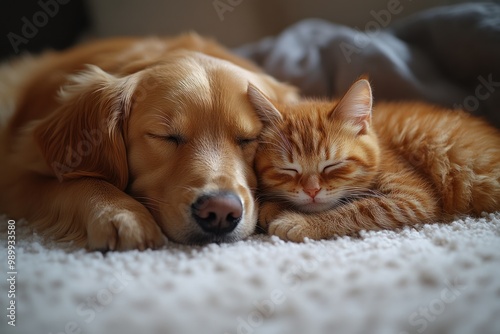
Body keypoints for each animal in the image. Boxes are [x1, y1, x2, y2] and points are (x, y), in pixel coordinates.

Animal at [0, 33, 296, 250]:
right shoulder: (15, 176)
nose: (220, 212)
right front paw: (120, 213)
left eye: (249, 139)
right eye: (165, 136)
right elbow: (76, 182)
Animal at [248, 79, 500, 241]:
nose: (312, 191)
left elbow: (359, 210)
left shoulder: (413, 199)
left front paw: (298, 222)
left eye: (333, 165)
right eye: (288, 169)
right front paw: (276, 205)